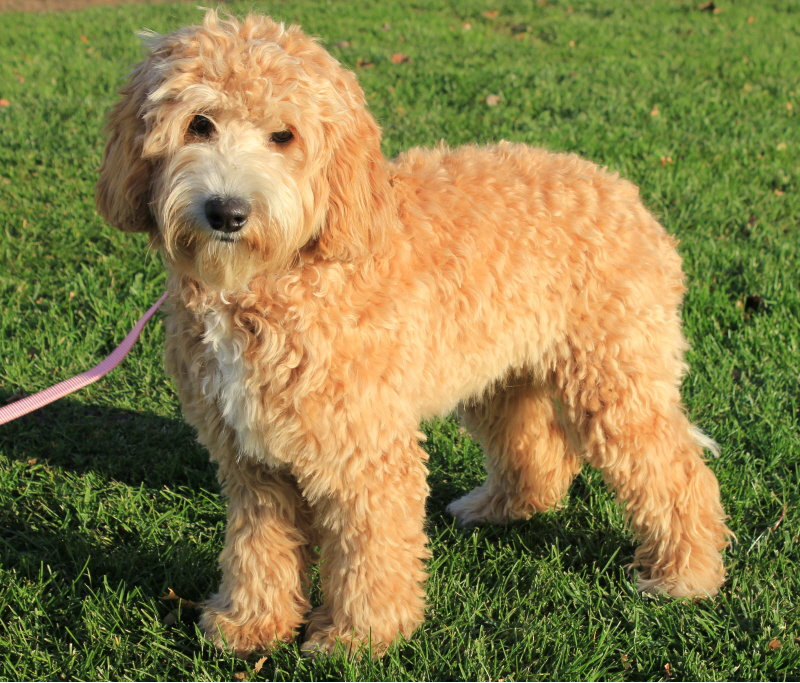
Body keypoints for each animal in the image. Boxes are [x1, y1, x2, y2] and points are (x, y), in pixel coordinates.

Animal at [95, 9, 732, 656]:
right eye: (199, 124)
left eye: (284, 136)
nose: (226, 212)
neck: (284, 274)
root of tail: (627, 195)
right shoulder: (251, 456)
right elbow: (259, 547)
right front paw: (250, 623)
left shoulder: (365, 450)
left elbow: (368, 549)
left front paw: (357, 636)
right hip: (502, 371)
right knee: (539, 449)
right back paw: (497, 507)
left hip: (614, 378)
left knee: (676, 470)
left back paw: (685, 574)